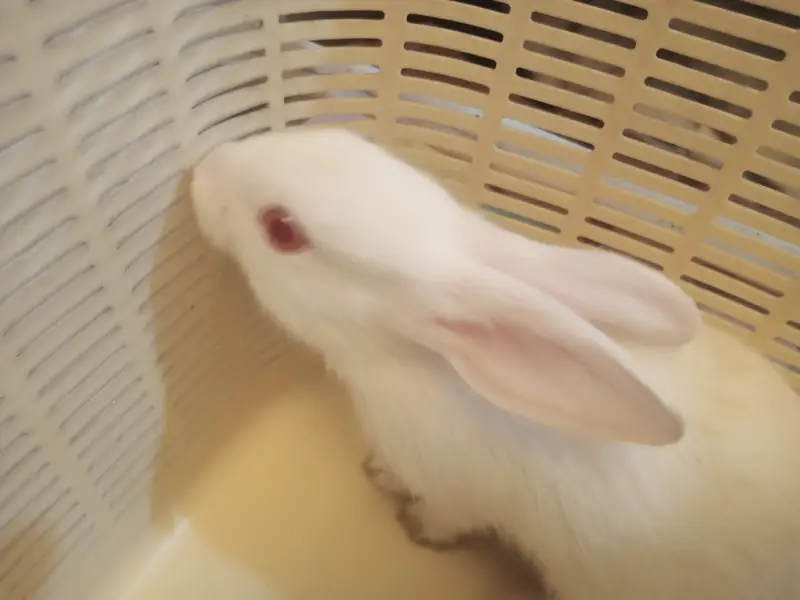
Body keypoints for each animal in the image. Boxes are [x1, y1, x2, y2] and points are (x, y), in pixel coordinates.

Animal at [190, 127, 800, 600]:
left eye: (282, 229)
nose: (205, 168)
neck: (412, 359)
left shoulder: (456, 494)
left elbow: (443, 517)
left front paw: (413, 524)